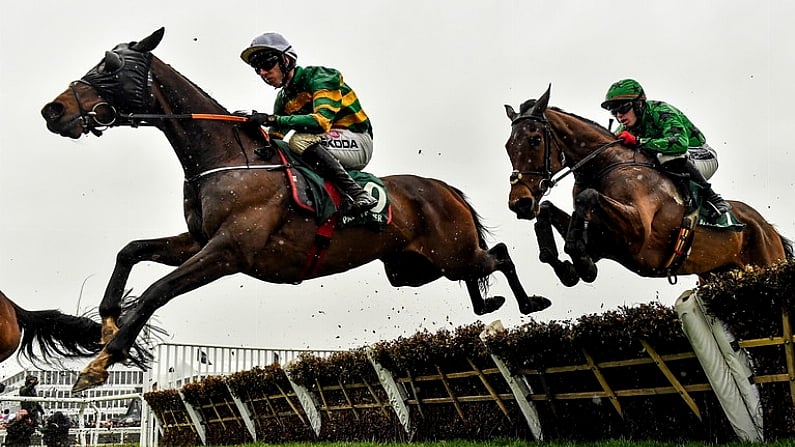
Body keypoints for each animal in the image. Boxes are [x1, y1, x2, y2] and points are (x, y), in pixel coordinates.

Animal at [40, 28, 552, 392]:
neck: (230, 158)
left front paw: (101, 362)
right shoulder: (198, 241)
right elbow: (130, 251)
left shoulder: (228, 252)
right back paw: (489, 303)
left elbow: (155, 292)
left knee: (499, 254)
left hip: (450, 253)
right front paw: (106, 325)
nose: (53, 111)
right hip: (411, 270)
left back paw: (530, 301)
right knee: (478, 270)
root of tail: (444, 188)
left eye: (109, 67)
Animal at [506, 84, 792, 288]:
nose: (519, 202)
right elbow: (548, 208)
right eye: (508, 146)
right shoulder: (604, 242)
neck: (606, 165)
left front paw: (580, 262)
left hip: (767, 263)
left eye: (534, 140)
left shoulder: (639, 236)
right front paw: (565, 265)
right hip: (716, 274)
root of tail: (768, 228)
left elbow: (587, 197)